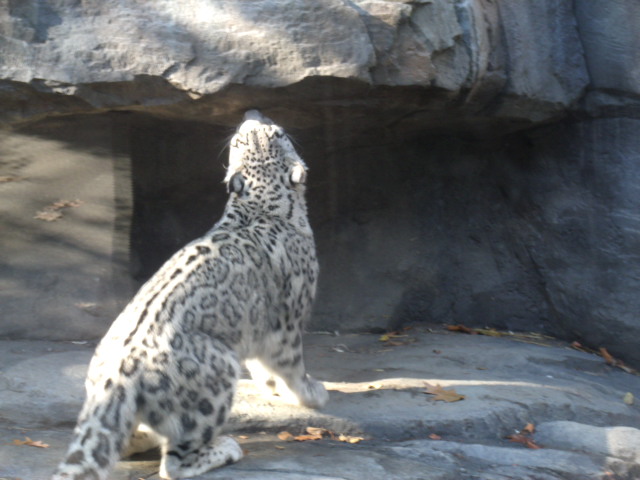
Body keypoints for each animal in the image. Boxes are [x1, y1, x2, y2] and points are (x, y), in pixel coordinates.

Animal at [52, 109, 328, 480]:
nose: (251, 114)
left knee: (125, 438)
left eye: (249, 137)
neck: (262, 204)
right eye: (278, 133)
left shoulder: (256, 325)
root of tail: (114, 378)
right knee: (175, 461)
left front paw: (272, 386)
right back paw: (225, 447)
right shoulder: (288, 320)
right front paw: (313, 393)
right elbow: (292, 366)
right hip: (217, 375)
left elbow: (262, 367)